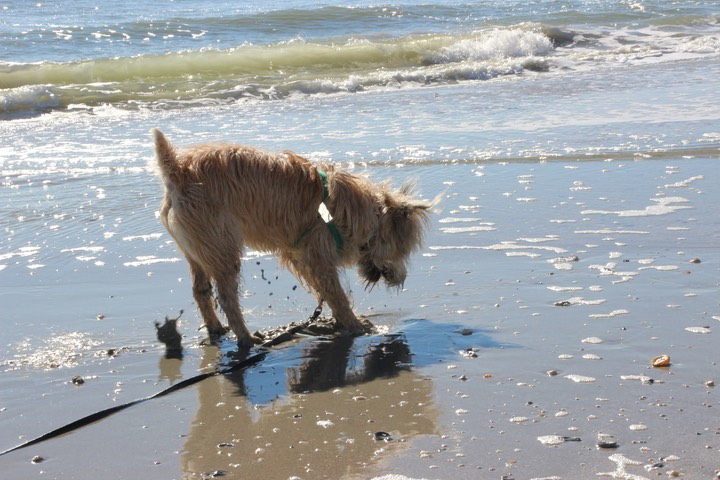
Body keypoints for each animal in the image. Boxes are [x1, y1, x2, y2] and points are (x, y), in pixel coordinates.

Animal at [152, 127, 434, 344]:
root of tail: (177, 170)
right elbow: (337, 295)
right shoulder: (318, 254)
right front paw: (357, 325)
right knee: (227, 297)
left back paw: (216, 329)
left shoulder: (301, 255)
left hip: (196, 249)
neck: (357, 211)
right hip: (221, 245)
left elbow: (325, 292)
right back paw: (246, 338)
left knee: (201, 290)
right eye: (403, 251)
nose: (400, 279)